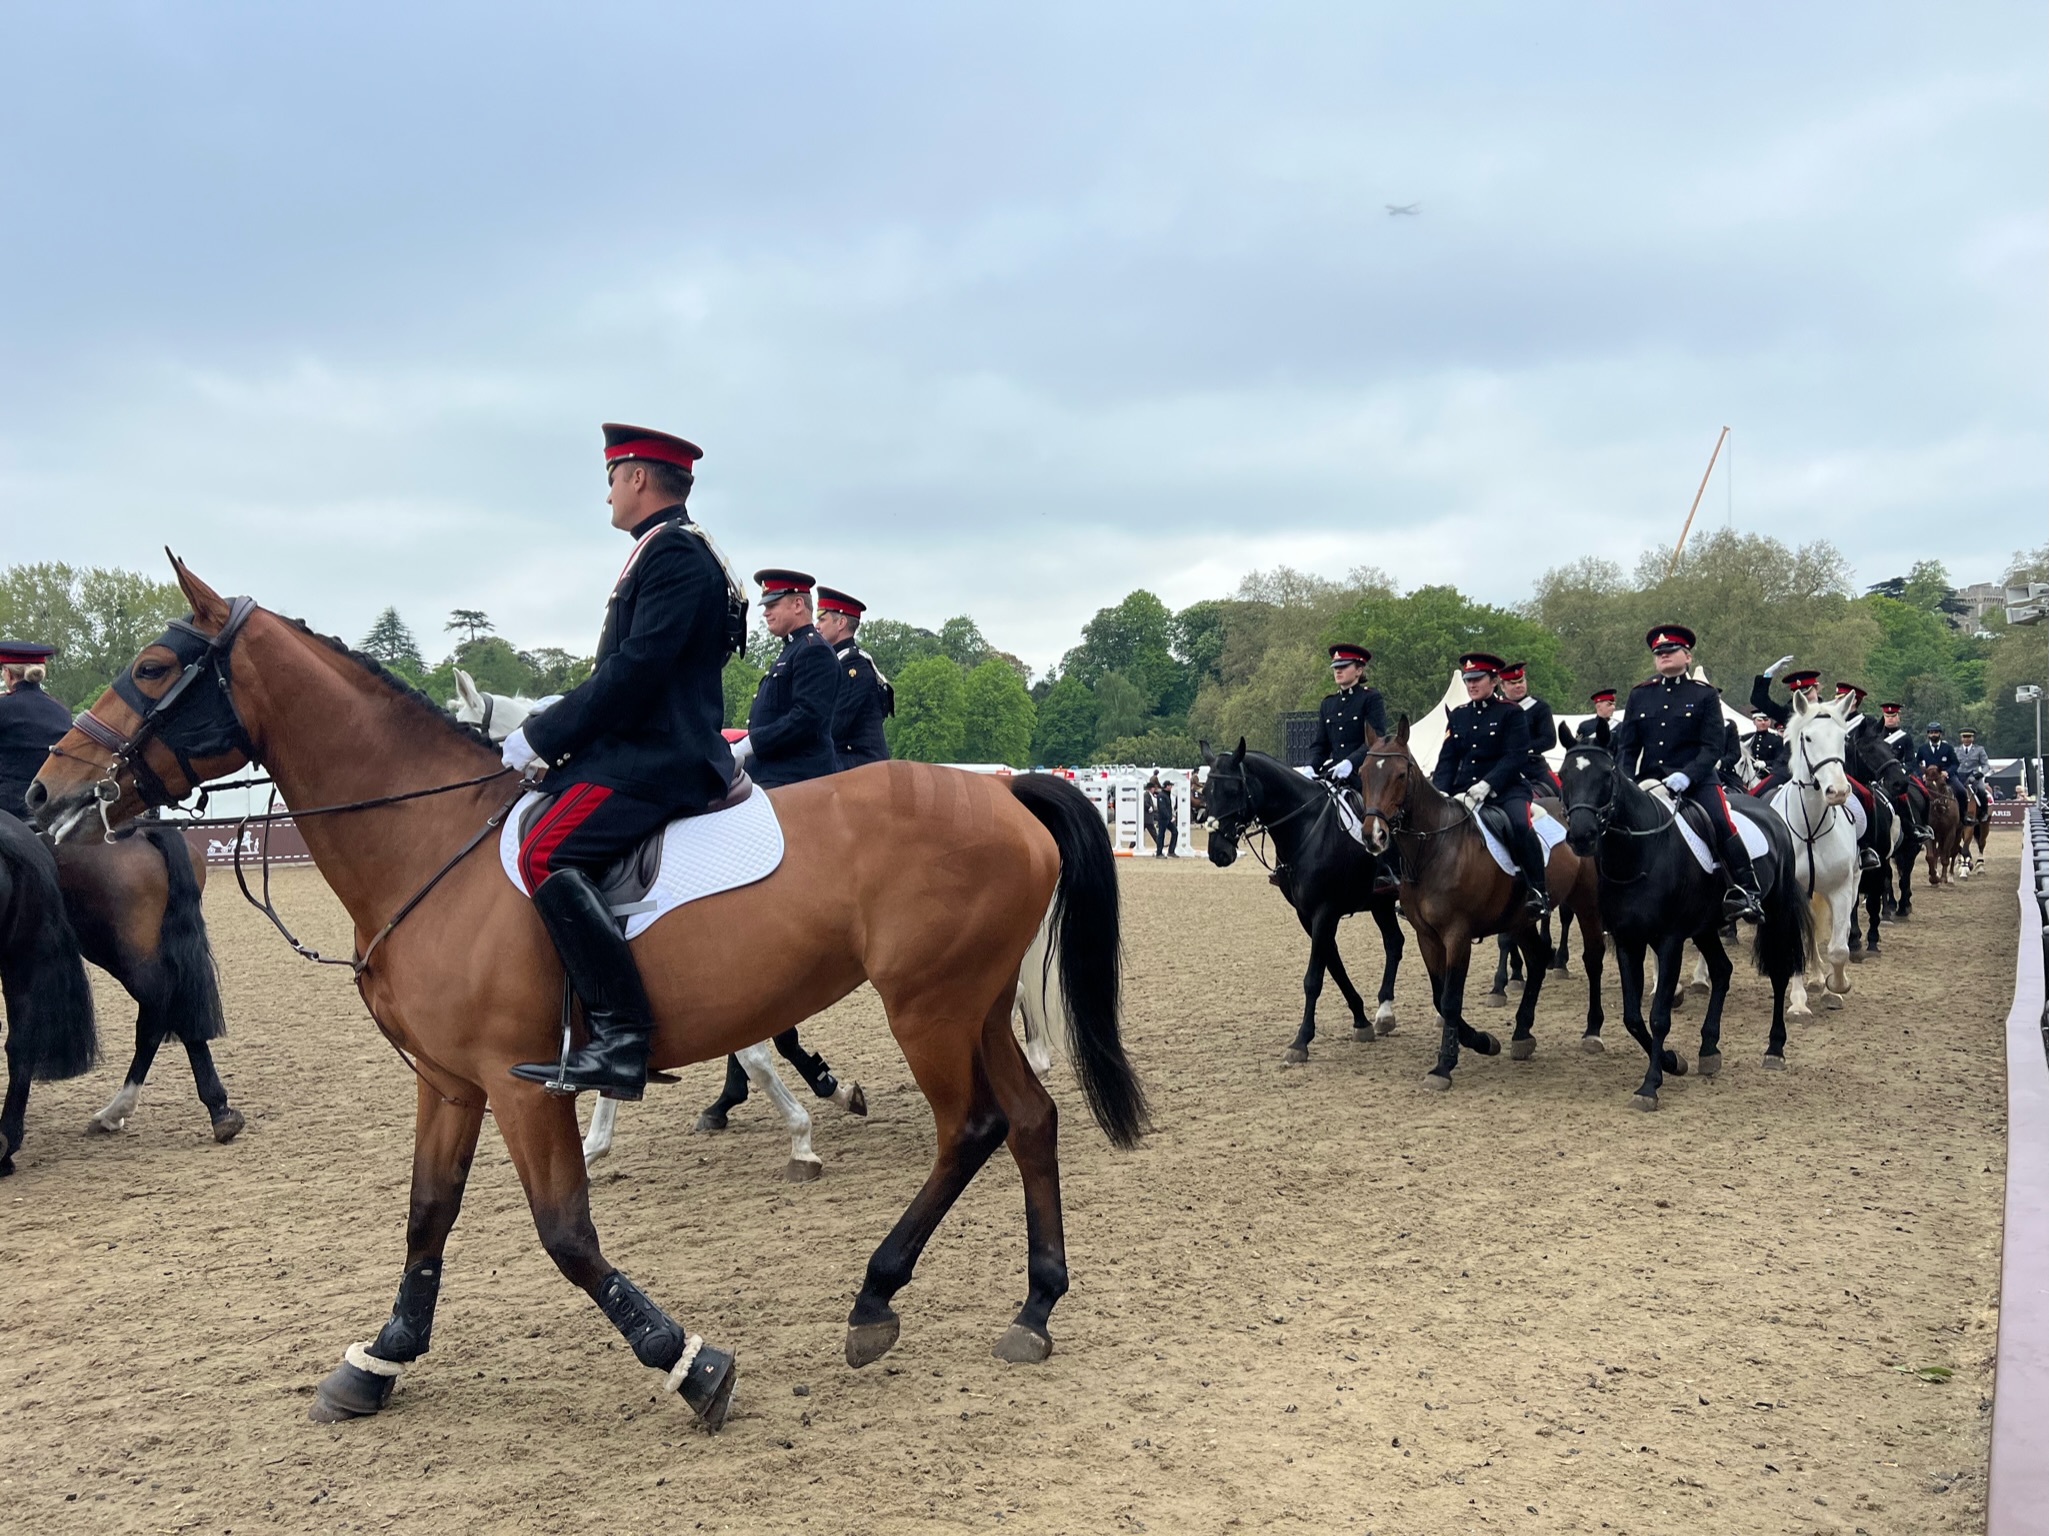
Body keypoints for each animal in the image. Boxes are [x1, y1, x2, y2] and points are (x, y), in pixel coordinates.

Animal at [1198, 741, 1406, 1063]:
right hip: (1380, 904)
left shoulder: (1325, 911)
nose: (1218, 853)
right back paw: (1384, 1014)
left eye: (1233, 791)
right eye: (1206, 792)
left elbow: (1314, 978)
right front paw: (1361, 1020)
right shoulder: (1307, 914)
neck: (1306, 828)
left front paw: (1301, 1040)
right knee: (1394, 943)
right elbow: (1333, 966)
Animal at [1351, 719, 1608, 1091]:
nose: (1374, 836)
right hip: (1521, 919)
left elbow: (1450, 999)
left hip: (1586, 902)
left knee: (1593, 958)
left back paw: (1592, 1031)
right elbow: (1440, 997)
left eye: (1401, 774)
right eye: (1363, 772)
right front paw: (1483, 1041)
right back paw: (1522, 1032)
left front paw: (1445, 1064)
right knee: (1537, 958)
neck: (1435, 849)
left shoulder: (1457, 936)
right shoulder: (1427, 937)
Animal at [1556, 733, 1812, 1109]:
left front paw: (1649, 1085)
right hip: (1705, 928)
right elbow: (1633, 1017)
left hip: (1775, 915)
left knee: (1778, 973)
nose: (1581, 835)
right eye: (1564, 775)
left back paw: (1775, 1048)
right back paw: (1709, 1048)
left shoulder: (1670, 941)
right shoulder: (1628, 940)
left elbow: (1659, 1016)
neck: (1640, 854)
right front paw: (1672, 1062)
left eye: (1606, 775)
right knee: (1722, 970)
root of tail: (1771, 814)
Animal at [1768, 696, 1862, 1016]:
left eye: (1844, 738)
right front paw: (1798, 1003)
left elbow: (1839, 948)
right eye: (1808, 738)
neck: (1810, 829)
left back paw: (1821, 978)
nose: (1838, 791)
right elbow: (1795, 944)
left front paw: (1837, 987)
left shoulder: (1841, 890)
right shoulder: (1791, 896)